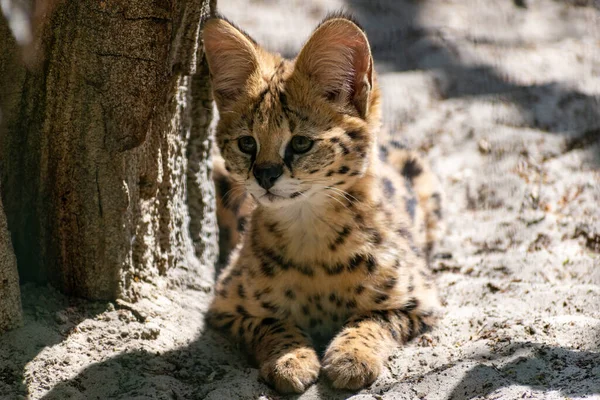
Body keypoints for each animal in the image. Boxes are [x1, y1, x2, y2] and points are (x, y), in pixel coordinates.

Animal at [204, 13, 442, 394]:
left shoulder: (419, 301)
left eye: (301, 143)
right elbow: (272, 324)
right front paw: (290, 358)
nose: (265, 175)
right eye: (246, 143)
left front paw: (351, 357)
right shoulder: (226, 307)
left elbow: (371, 320)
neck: (309, 231)